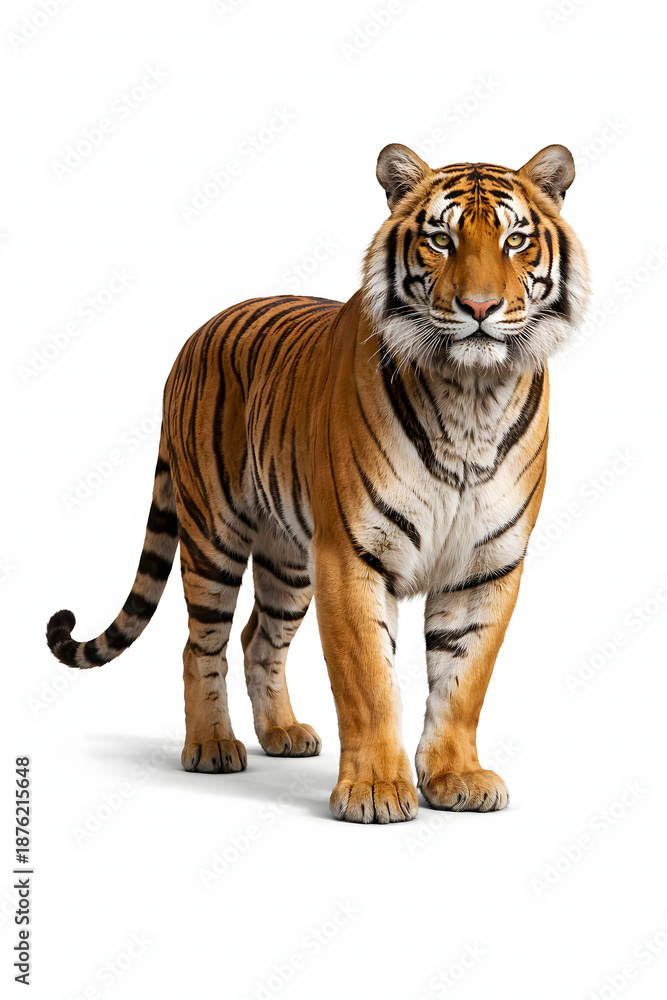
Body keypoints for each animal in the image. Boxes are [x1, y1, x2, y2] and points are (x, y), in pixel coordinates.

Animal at [47, 142, 590, 823]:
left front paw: (456, 777)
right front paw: (376, 790)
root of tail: (196, 334)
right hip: (215, 535)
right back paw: (212, 745)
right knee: (201, 642)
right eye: (440, 239)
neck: (470, 394)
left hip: (287, 558)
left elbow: (464, 680)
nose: (481, 309)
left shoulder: (486, 564)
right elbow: (369, 681)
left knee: (259, 638)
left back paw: (282, 733)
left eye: (515, 240)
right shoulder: (352, 555)